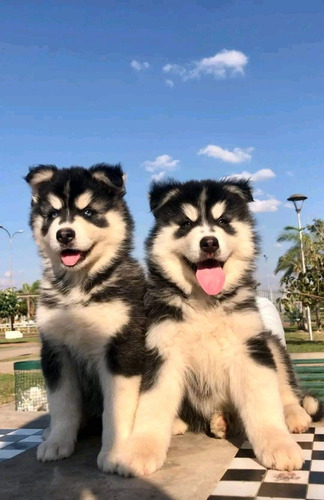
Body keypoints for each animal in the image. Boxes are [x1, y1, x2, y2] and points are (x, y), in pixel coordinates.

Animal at [25, 165, 146, 472]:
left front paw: (114, 452)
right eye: (52, 214)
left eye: (89, 212)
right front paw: (58, 442)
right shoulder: (55, 350)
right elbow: (62, 403)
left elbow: (117, 408)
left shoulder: (121, 349)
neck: (78, 288)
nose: (64, 234)